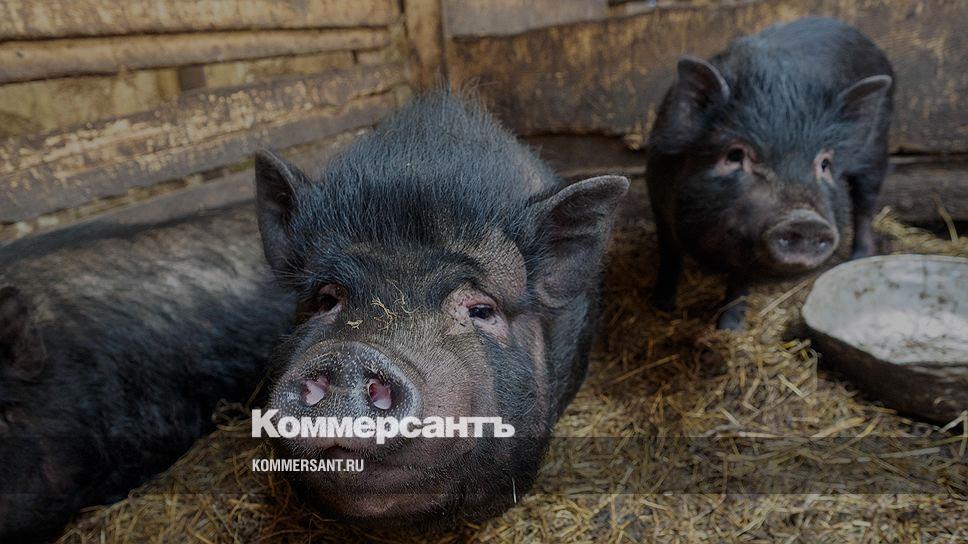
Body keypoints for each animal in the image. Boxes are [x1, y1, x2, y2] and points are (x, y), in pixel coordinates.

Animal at [645, 17, 894, 329]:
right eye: (734, 155)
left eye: (825, 163)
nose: (806, 220)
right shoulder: (656, 194)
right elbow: (668, 255)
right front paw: (660, 306)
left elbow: (740, 280)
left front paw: (729, 329)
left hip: (876, 153)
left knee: (864, 207)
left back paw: (856, 258)